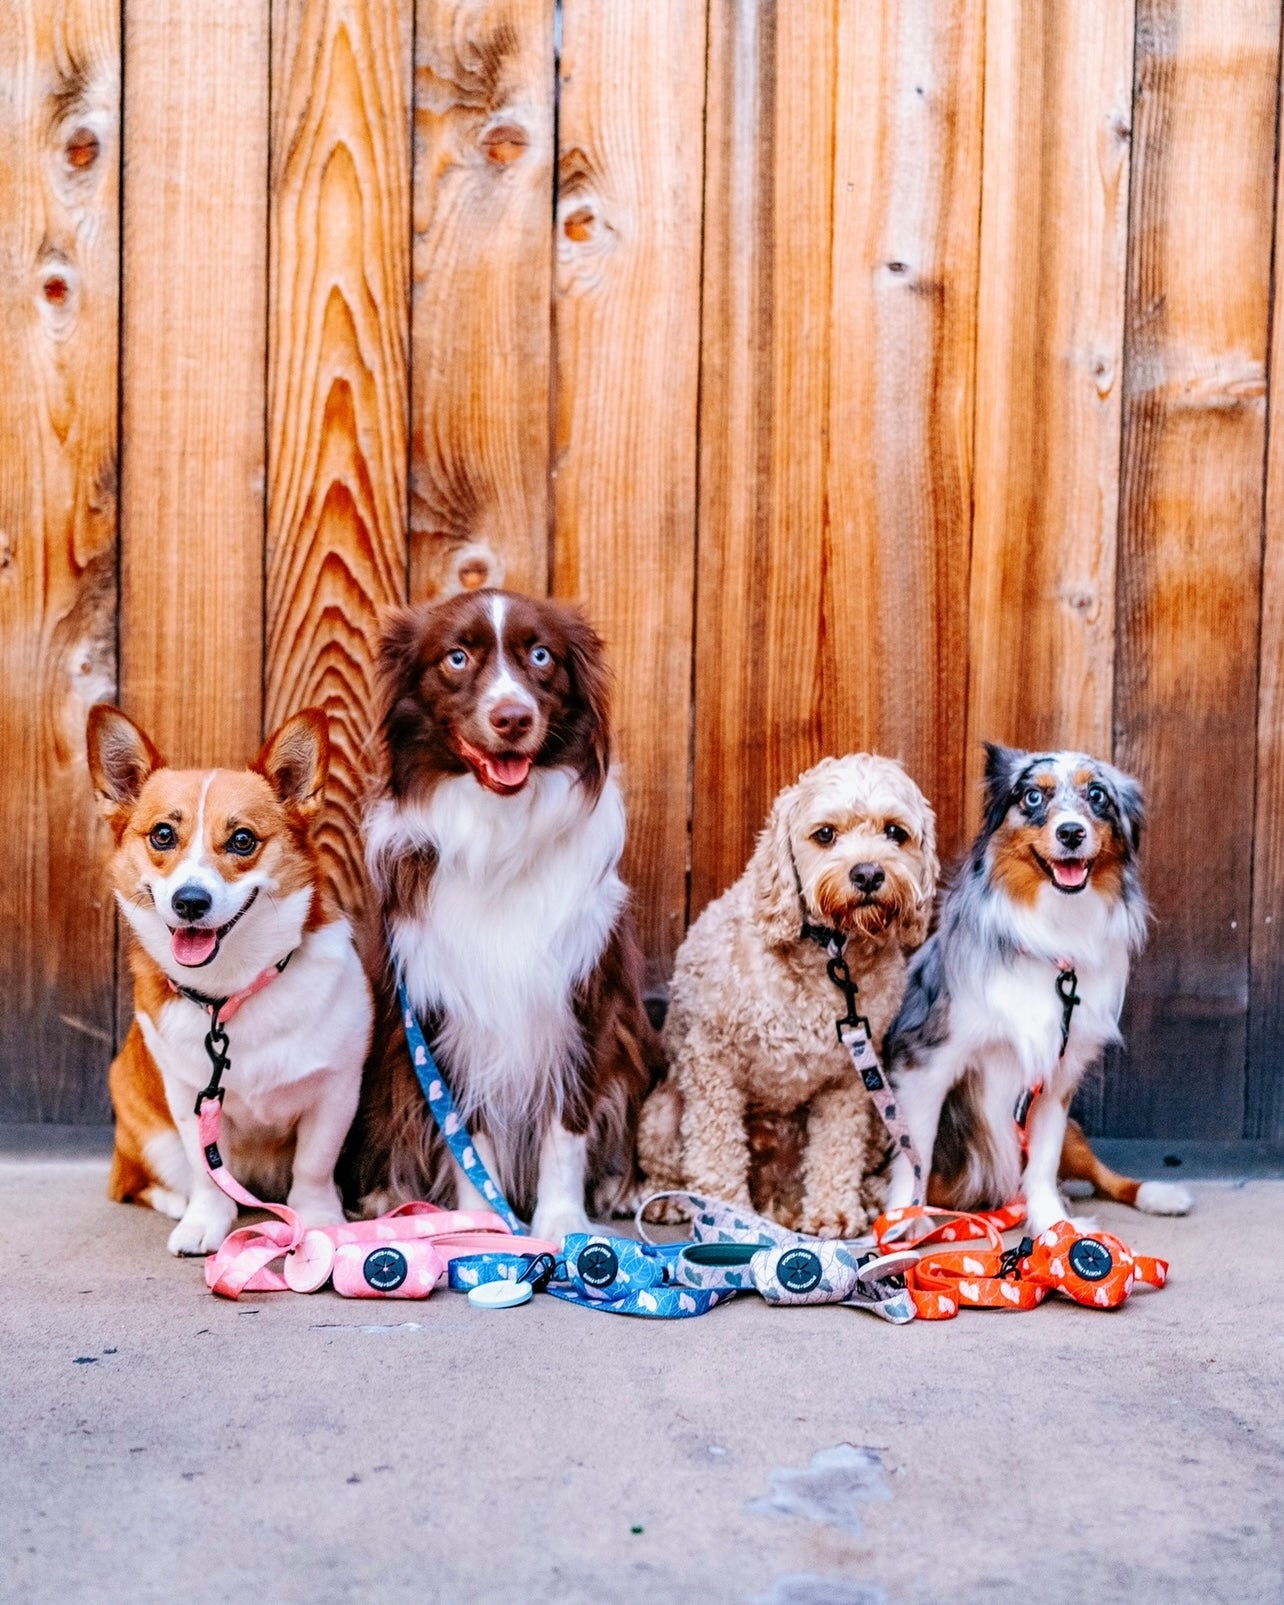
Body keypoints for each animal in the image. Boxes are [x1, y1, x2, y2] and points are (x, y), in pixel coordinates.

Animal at [638, 754, 930, 1239]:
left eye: (895, 832)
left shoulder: (848, 1078)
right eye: (825, 834)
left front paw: (833, 1212)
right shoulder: (711, 1061)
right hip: (661, 1114)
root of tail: (773, 1194)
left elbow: (837, 1147)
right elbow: (717, 1149)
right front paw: (727, 1217)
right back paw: (664, 1199)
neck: (829, 952)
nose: (868, 873)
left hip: (878, 1119)